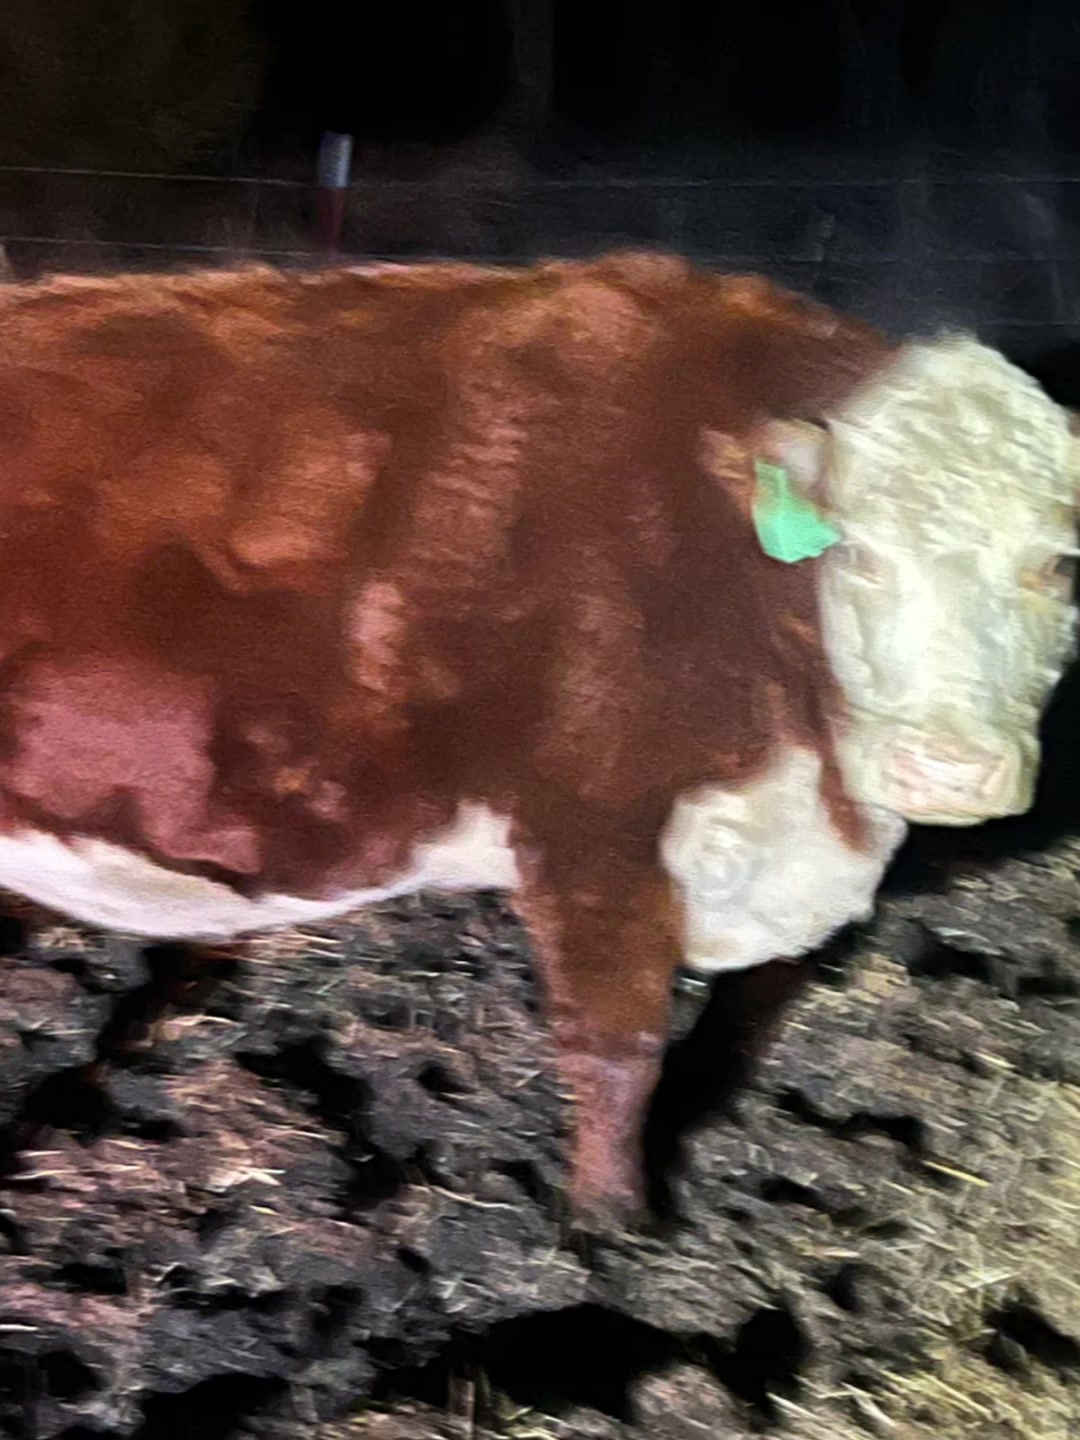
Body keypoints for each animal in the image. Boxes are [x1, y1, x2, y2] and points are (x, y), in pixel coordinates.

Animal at [0, 251, 1073, 1226]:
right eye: (856, 553)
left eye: (1060, 563)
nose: (946, 767)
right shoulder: (597, 819)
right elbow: (617, 1046)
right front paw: (611, 1230)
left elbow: (741, 1025)